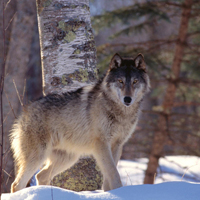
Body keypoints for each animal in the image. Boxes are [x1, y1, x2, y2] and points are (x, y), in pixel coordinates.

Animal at [9, 52, 150, 192]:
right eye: (120, 81)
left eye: (135, 81)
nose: (127, 99)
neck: (120, 113)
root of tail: (25, 111)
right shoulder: (101, 144)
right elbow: (113, 173)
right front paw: (118, 192)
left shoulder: (117, 145)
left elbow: (109, 175)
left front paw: (110, 193)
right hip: (38, 156)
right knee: (16, 184)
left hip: (68, 159)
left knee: (40, 176)